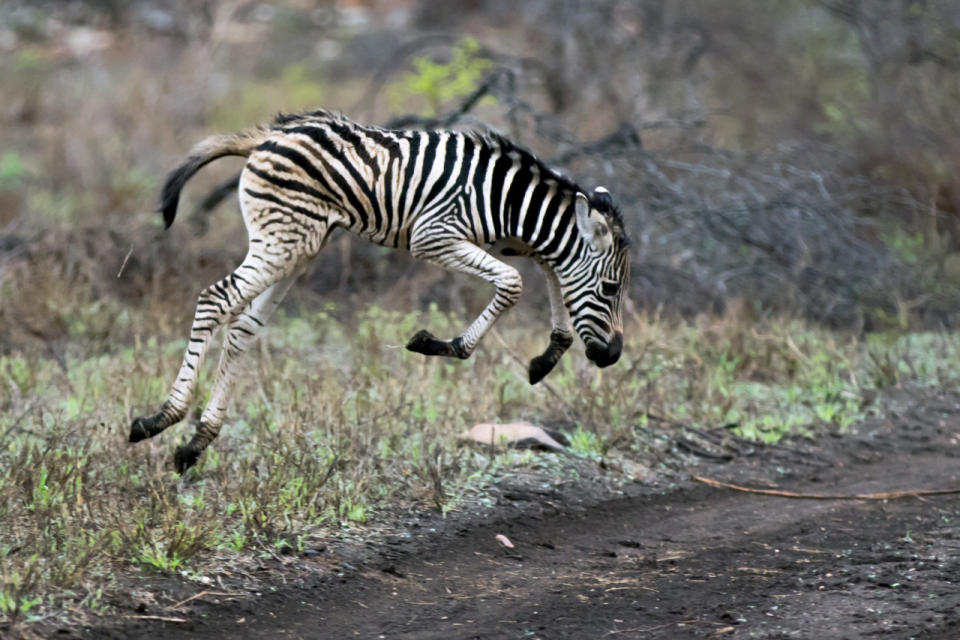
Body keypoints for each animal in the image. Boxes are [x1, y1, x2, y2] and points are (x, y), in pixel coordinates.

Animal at [129, 110, 632, 470]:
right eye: (610, 289)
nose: (612, 356)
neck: (505, 199)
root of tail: (271, 134)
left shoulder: (517, 241)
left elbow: (554, 269)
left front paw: (548, 356)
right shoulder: (434, 234)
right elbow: (513, 282)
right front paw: (440, 344)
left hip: (299, 246)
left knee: (242, 327)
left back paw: (195, 444)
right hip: (283, 238)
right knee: (215, 300)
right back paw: (159, 420)